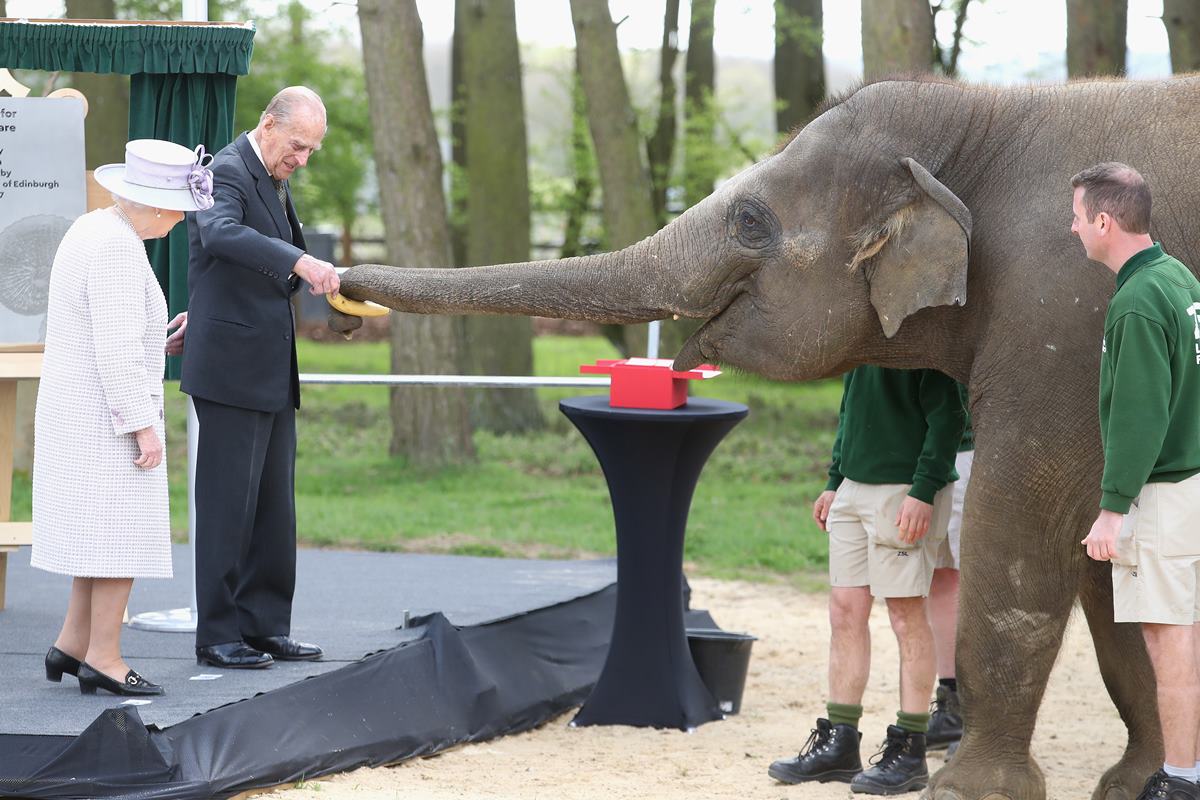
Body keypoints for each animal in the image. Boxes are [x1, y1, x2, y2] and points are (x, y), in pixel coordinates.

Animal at [326, 73, 1200, 796]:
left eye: (749, 220)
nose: (338, 291)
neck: (984, 113)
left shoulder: (1066, 320)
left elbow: (1025, 521)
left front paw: (970, 794)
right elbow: (1102, 568)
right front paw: (1128, 787)